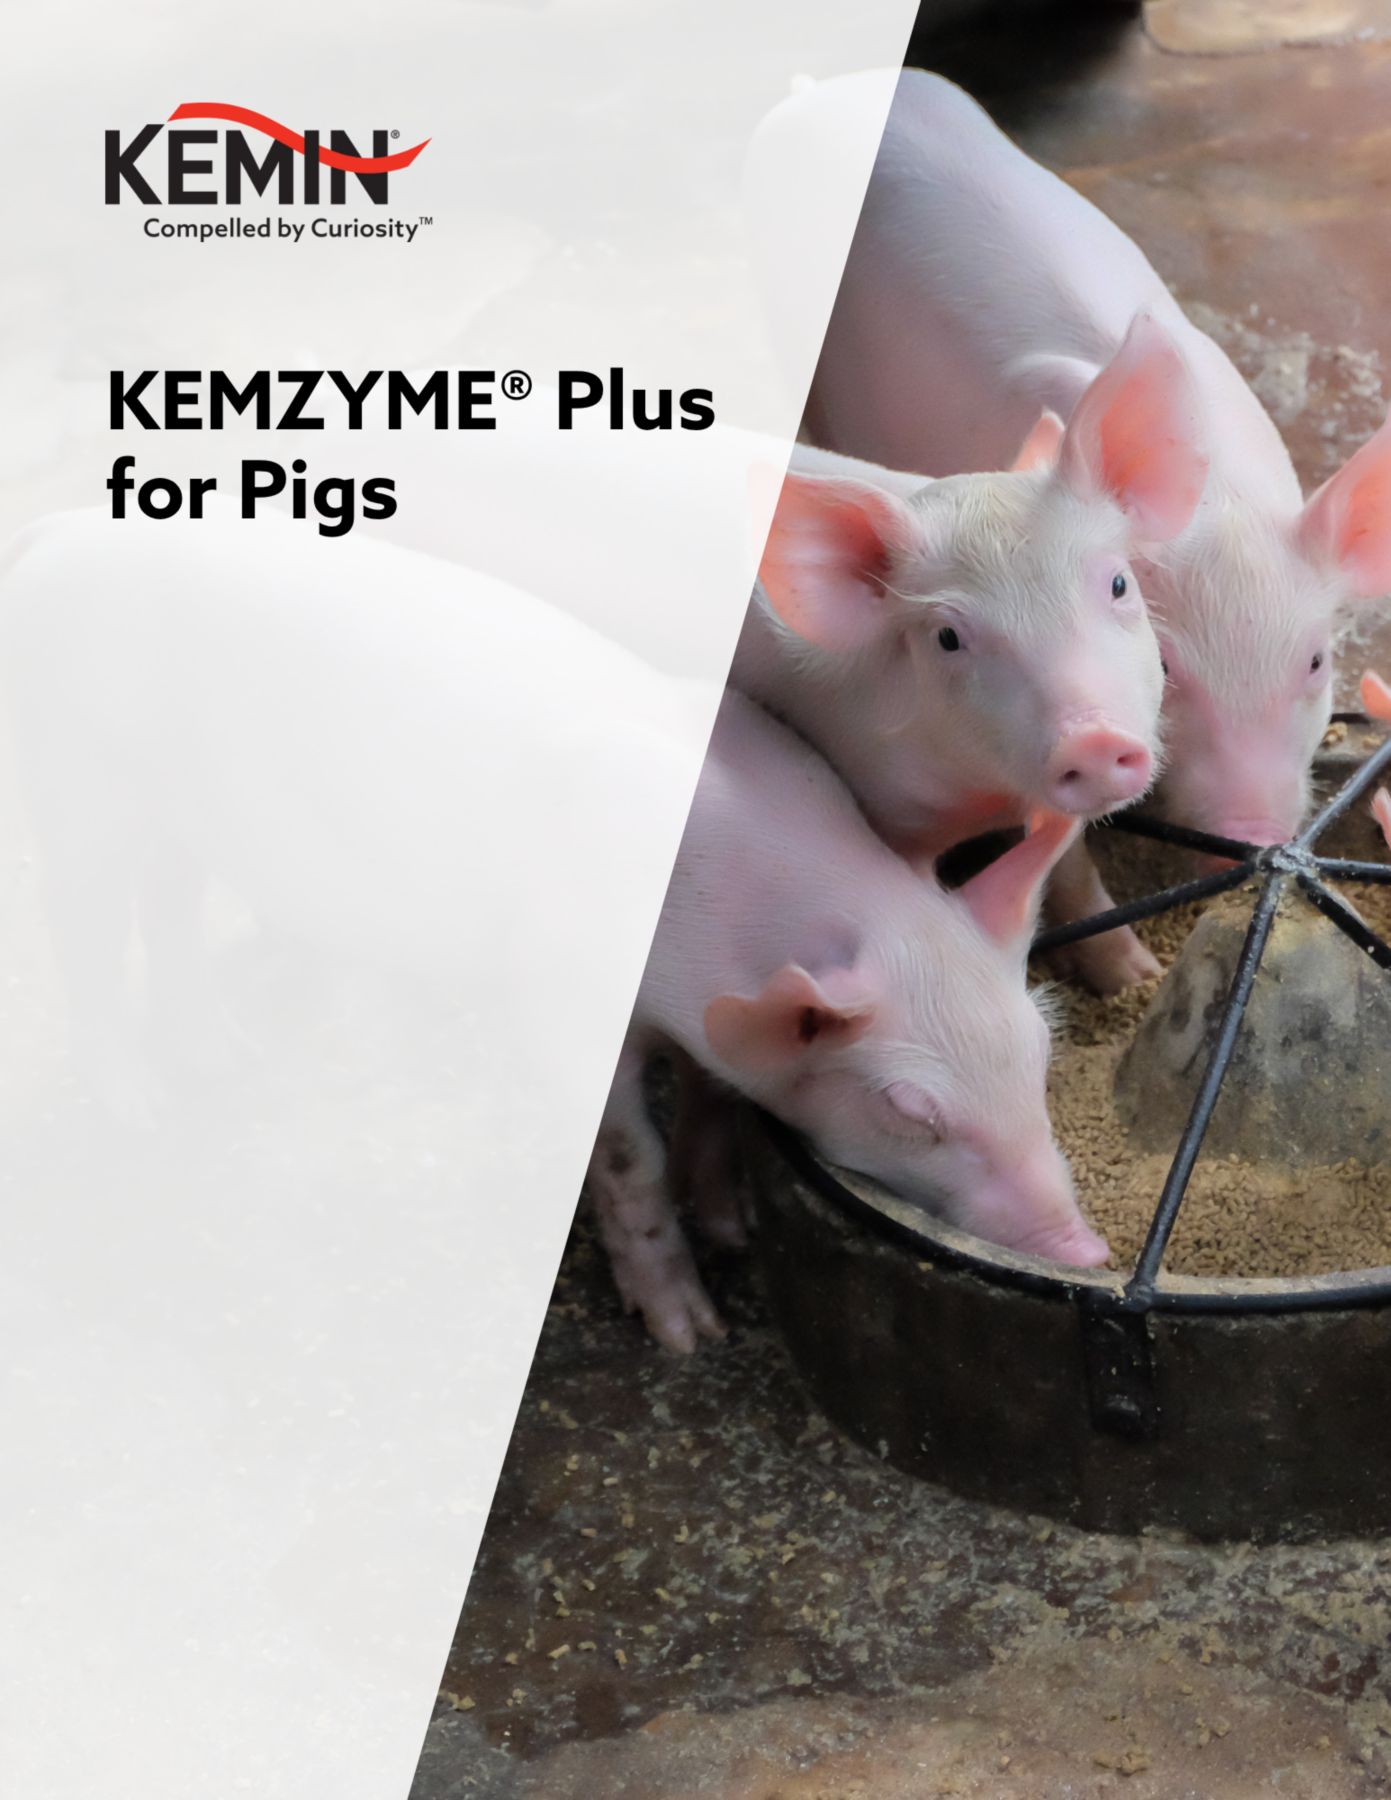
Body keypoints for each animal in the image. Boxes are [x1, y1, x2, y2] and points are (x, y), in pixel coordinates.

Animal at [591, 687, 1106, 1353]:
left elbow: (710, 1098)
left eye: (1039, 1058)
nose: (1087, 1250)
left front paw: (736, 1233)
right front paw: (694, 1337)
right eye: (909, 1112)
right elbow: (631, 1163)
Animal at [736, 313, 1208, 989]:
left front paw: (1136, 976)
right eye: (948, 638)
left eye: (1119, 583)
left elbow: (1074, 872)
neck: (985, 793)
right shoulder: (888, 809)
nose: (1092, 739)